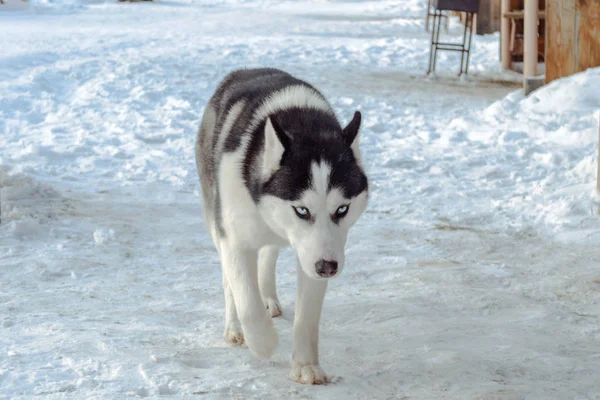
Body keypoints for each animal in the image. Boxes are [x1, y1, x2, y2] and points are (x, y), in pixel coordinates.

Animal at [195, 69, 368, 384]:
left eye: (342, 209)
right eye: (302, 209)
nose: (328, 268)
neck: (302, 122)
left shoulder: (315, 252)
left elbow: (307, 316)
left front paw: (306, 365)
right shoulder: (234, 239)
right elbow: (245, 298)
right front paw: (263, 342)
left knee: (268, 254)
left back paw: (268, 297)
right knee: (229, 281)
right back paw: (235, 328)